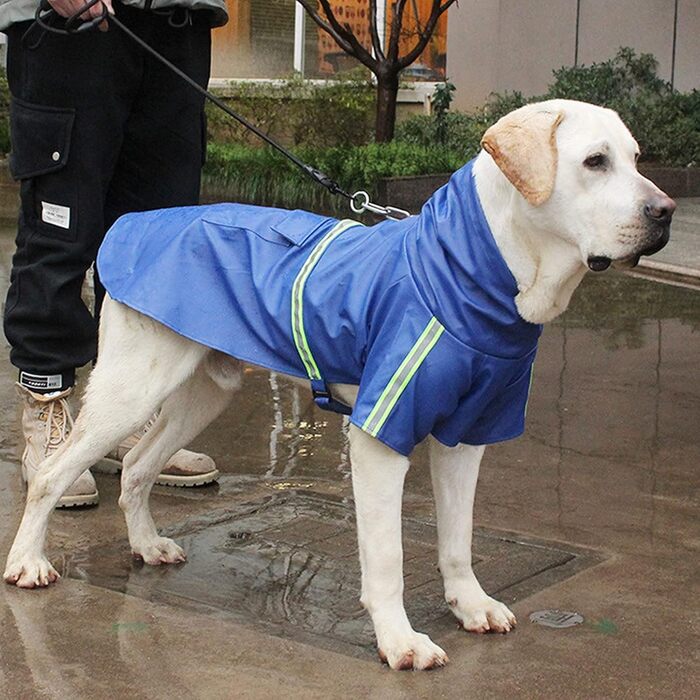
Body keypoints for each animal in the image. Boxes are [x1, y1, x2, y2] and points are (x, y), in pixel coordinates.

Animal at [2, 101, 676, 668]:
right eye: (595, 161)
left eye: (637, 158)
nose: (666, 213)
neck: (473, 273)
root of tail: (134, 224)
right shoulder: (381, 436)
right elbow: (387, 557)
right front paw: (400, 641)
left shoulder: (466, 435)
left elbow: (458, 540)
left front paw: (470, 604)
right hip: (131, 389)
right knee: (54, 473)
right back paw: (28, 561)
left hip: (203, 391)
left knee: (140, 464)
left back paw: (145, 545)